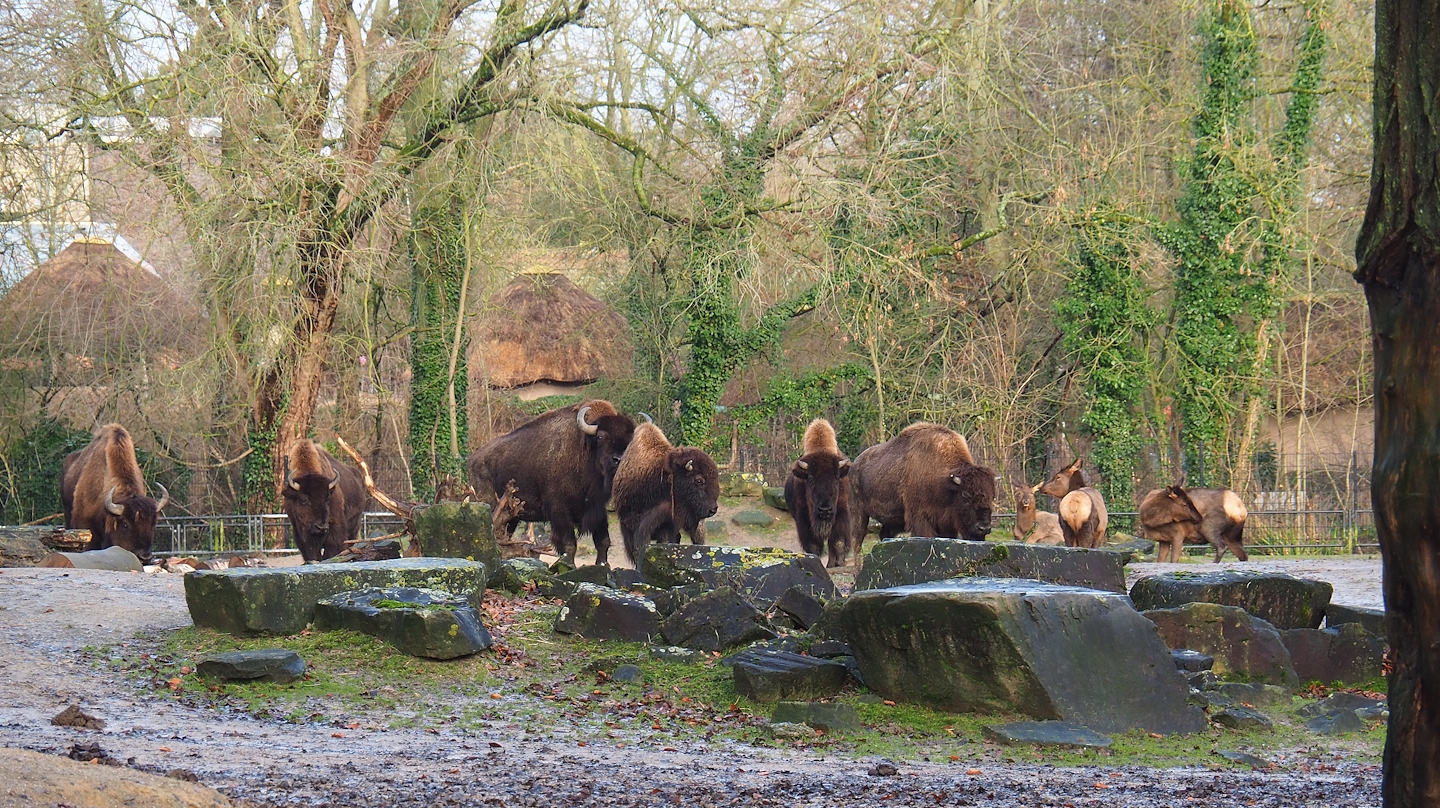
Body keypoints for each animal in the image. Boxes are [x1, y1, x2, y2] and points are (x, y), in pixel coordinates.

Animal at [467, 400, 636, 565]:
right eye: (600, 436)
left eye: (630, 439)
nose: (619, 459)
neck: (584, 449)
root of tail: (472, 461)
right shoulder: (560, 511)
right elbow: (569, 545)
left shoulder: (597, 509)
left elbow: (603, 542)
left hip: (512, 517)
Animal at [784, 419, 852, 567]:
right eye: (810, 479)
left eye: (837, 477)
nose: (825, 510)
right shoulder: (803, 519)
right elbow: (813, 546)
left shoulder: (841, 514)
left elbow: (838, 542)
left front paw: (840, 564)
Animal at [849, 422, 997, 549]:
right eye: (965, 495)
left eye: (992, 497)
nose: (984, 528)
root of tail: (855, 464)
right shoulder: (921, 519)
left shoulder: (946, 524)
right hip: (859, 513)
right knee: (856, 542)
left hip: (892, 520)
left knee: (884, 535)